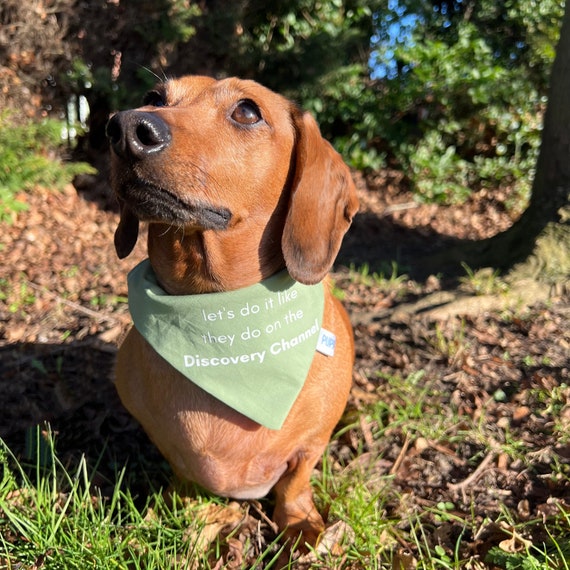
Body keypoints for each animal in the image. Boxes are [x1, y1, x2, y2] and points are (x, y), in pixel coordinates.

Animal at [105, 75, 358, 540]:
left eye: (247, 111)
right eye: (154, 98)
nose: (126, 128)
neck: (217, 311)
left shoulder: (311, 444)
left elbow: (295, 482)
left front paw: (300, 524)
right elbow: (185, 476)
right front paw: (182, 512)